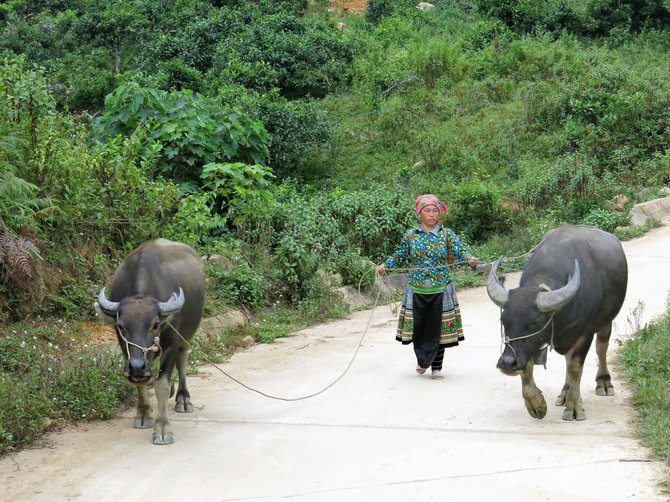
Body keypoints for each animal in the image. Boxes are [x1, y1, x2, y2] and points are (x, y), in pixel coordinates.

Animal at [94, 239, 205, 444]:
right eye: (120, 326)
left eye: (155, 324)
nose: (138, 366)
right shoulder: (128, 352)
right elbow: (140, 383)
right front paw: (144, 414)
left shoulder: (171, 344)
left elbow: (161, 385)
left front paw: (162, 428)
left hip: (186, 336)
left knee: (182, 361)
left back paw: (183, 398)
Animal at [488, 226, 632, 422]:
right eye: (504, 321)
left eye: (535, 322)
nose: (507, 363)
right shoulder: (530, 346)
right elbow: (529, 368)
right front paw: (536, 404)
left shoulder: (584, 334)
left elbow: (575, 368)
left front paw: (574, 407)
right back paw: (564, 392)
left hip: (606, 321)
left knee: (601, 347)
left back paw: (603, 382)